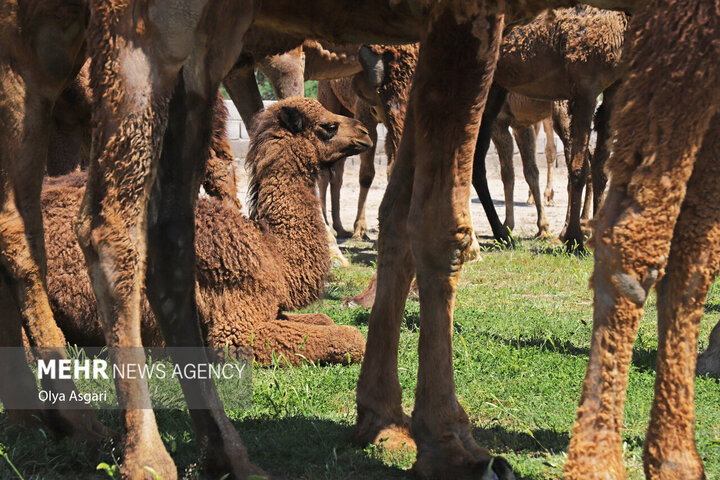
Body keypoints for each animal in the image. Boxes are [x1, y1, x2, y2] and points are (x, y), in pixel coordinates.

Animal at [43, 98, 372, 368]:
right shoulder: (237, 324)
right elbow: (351, 337)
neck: (272, 252)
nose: (366, 133)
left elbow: (324, 318)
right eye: (329, 126)